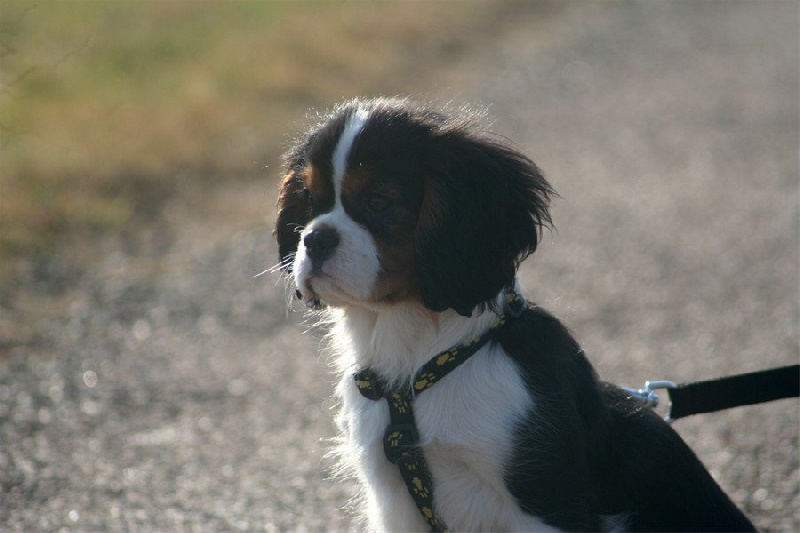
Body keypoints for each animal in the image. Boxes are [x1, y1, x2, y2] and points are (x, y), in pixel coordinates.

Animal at [274, 97, 752, 528]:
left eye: (377, 202)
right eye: (309, 199)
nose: (314, 240)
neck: (417, 365)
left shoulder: (546, 500)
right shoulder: (395, 502)